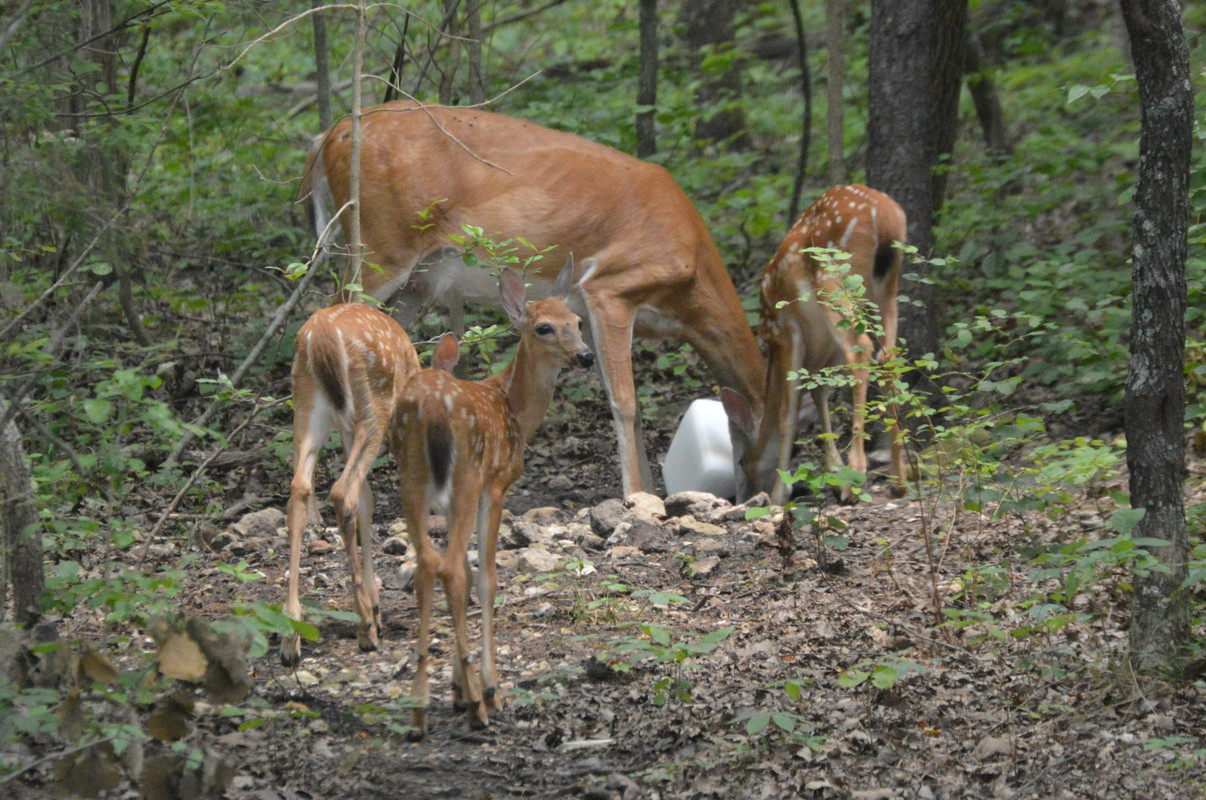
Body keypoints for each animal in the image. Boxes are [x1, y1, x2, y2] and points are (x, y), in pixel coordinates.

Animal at [282, 302, 459, 667]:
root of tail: (319, 333)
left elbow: (367, 500)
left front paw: (377, 603)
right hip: (374, 401)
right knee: (340, 492)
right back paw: (363, 626)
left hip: (307, 405)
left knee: (300, 489)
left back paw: (291, 634)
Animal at [302, 99, 765, 498]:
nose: (755, 495)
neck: (690, 285)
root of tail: (330, 135)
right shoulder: (612, 286)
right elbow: (625, 401)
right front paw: (636, 496)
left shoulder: (586, 313)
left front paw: (650, 492)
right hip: (380, 245)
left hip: (415, 283)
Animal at [388, 260, 593, 737]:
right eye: (543, 327)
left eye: (577, 321)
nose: (586, 356)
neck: (513, 407)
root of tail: (430, 410)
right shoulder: (496, 484)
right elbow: (486, 578)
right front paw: (486, 688)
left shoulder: (447, 501)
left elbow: (463, 571)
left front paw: (457, 689)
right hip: (465, 477)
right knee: (449, 569)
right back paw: (480, 707)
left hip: (412, 480)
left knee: (427, 566)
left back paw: (419, 710)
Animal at [721, 184, 909, 506]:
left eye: (743, 461)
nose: (744, 498)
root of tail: (885, 217)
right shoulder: (823, 350)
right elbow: (819, 393)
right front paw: (832, 468)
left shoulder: (783, 331)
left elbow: (789, 413)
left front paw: (777, 496)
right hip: (887, 286)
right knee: (888, 357)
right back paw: (900, 480)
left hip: (833, 279)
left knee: (861, 349)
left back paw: (855, 481)